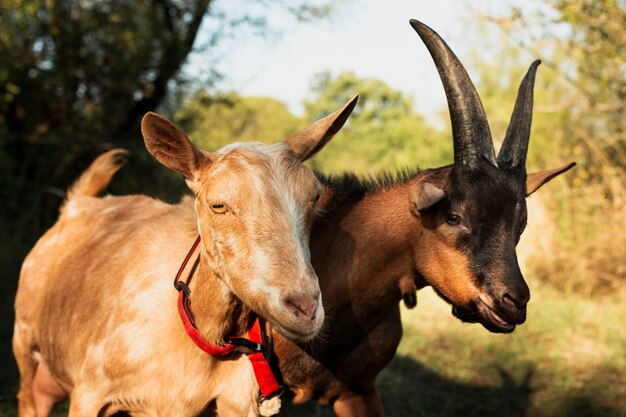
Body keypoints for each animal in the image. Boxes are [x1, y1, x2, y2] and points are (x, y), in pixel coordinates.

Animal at [11, 95, 356, 416]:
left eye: (314, 197)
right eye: (218, 205)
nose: (305, 307)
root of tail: (77, 203)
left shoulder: (236, 403)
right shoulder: (90, 394)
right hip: (24, 340)